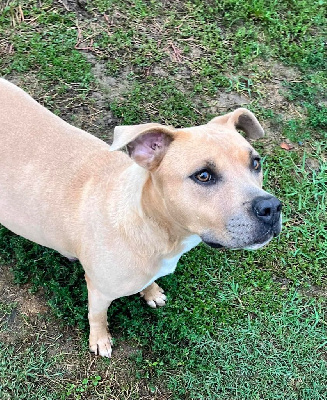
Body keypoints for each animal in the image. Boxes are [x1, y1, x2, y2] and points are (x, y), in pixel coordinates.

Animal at [0, 78, 282, 356]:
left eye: (255, 163)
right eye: (203, 175)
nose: (271, 207)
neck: (153, 227)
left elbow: (149, 283)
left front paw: (151, 292)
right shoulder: (99, 290)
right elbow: (97, 316)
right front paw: (99, 339)